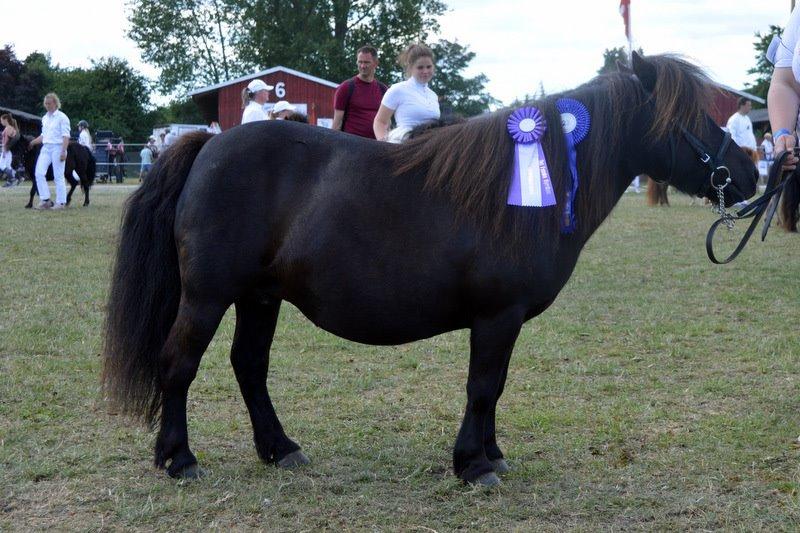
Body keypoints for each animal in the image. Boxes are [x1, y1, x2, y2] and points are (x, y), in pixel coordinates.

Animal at [100, 54, 756, 486]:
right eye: (690, 115)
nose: (750, 175)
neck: (524, 191)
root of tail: (207, 147)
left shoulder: (503, 322)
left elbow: (495, 388)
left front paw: (491, 455)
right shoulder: (497, 317)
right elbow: (483, 386)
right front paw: (474, 466)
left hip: (260, 297)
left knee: (249, 367)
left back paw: (281, 449)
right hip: (208, 295)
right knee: (178, 365)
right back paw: (179, 459)